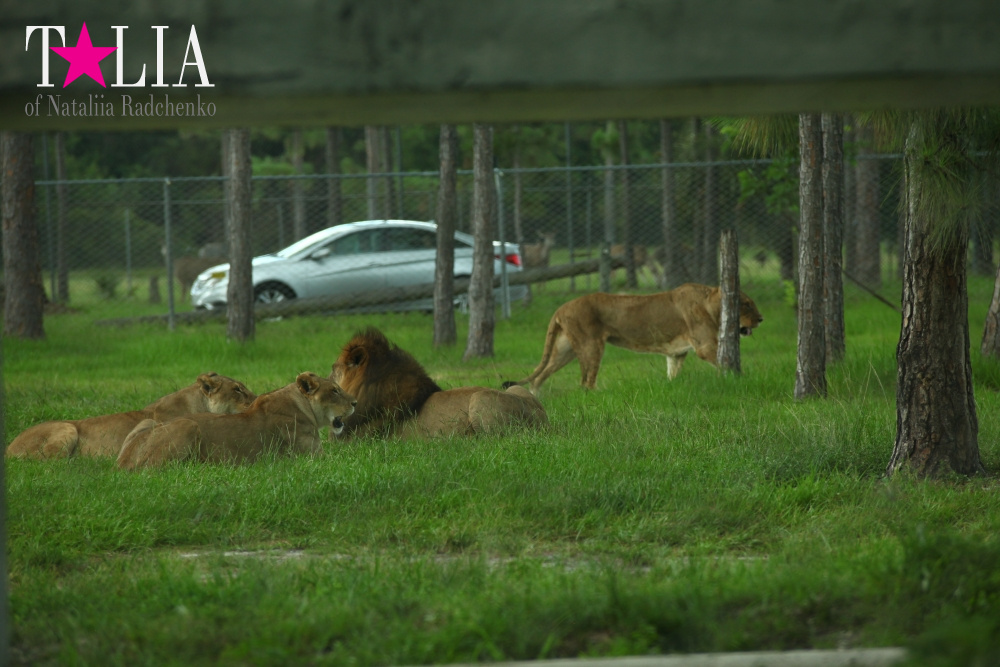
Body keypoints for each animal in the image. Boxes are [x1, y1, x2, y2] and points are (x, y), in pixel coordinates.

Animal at [116, 372, 356, 470]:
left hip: (146, 423)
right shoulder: (312, 458)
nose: (355, 402)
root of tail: (123, 463)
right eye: (335, 391)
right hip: (187, 424)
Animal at [503, 283, 764, 393]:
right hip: (591, 345)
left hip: (565, 350)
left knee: (541, 376)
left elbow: (673, 374)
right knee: (586, 382)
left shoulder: (676, 353)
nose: (761, 319)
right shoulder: (706, 346)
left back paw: (535, 397)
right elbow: (725, 362)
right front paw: (740, 379)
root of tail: (561, 308)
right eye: (747, 304)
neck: (711, 304)